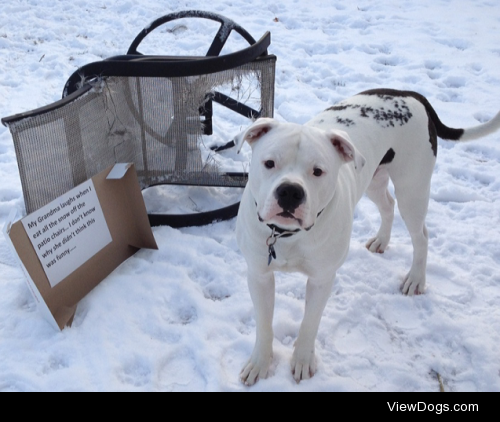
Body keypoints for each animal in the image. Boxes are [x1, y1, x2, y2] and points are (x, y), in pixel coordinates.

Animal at [234, 89, 500, 386]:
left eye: (318, 171)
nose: (290, 191)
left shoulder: (321, 280)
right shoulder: (259, 276)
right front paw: (259, 363)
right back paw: (381, 241)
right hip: (374, 178)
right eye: (269, 163)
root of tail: (408, 94)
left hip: (413, 188)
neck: (286, 235)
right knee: (388, 205)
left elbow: (309, 323)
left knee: (421, 235)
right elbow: (264, 324)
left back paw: (415, 279)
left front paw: (302, 360)